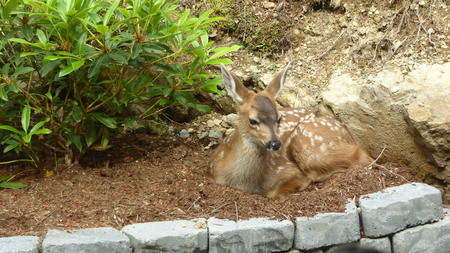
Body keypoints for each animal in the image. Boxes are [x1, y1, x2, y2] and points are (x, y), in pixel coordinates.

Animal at [211, 62, 372, 200]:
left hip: (309, 142)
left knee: (362, 156)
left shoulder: (288, 169)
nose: (275, 143)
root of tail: (347, 134)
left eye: (279, 118)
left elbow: (274, 192)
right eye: (252, 120)